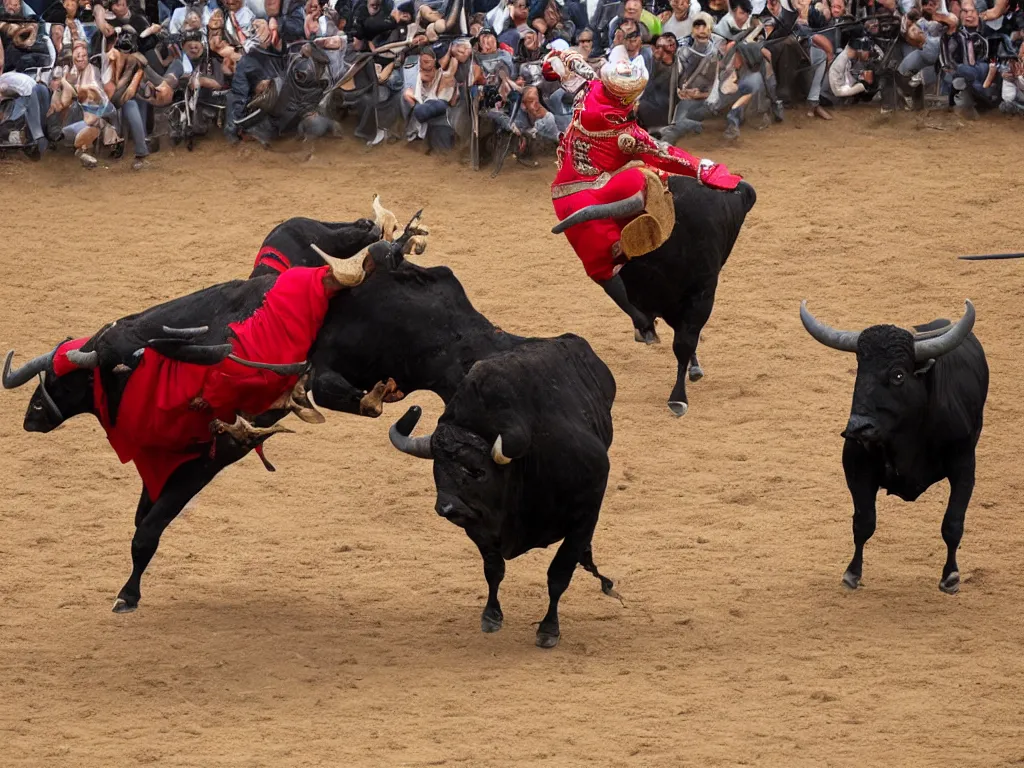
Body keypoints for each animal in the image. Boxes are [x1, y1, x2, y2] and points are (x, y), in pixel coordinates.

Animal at [3, 249, 376, 618]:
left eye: (75, 378)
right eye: (50, 374)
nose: (31, 416)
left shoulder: (200, 465)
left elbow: (148, 529)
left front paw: (127, 595)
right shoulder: (158, 465)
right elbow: (142, 519)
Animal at [389, 335, 614, 651]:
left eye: (477, 471)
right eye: (437, 467)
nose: (446, 507)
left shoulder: (585, 516)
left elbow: (558, 575)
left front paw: (549, 629)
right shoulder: (479, 525)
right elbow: (493, 569)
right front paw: (491, 615)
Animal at [798, 301, 983, 593]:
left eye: (898, 375)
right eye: (860, 371)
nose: (857, 427)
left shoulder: (964, 465)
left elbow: (952, 524)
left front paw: (951, 577)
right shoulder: (856, 465)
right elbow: (863, 522)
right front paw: (852, 573)